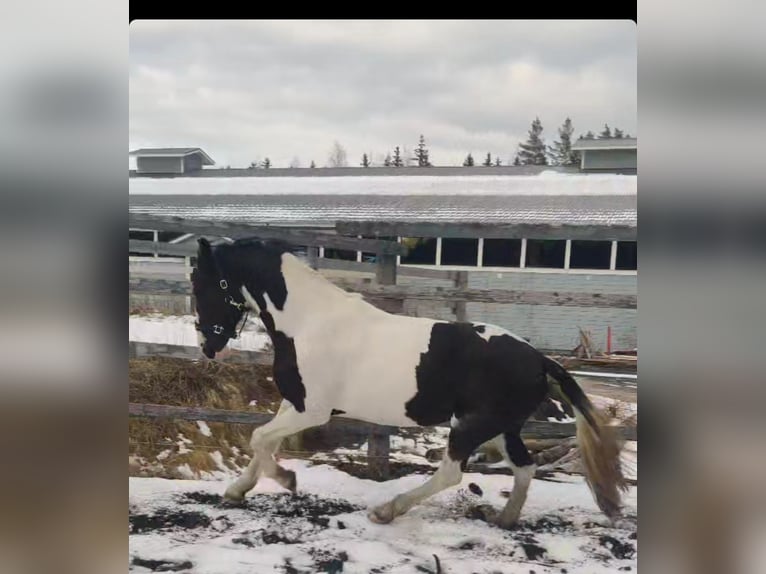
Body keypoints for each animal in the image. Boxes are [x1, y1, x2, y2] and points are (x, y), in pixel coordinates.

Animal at [192, 238, 632, 532]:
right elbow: (265, 440)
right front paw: (238, 490)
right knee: (524, 468)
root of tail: (541, 359)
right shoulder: (295, 404)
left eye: (205, 284)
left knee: (452, 473)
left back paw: (387, 510)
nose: (208, 347)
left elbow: (259, 439)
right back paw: (503, 519)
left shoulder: (312, 409)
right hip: (502, 428)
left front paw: (287, 480)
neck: (307, 322)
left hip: (470, 425)